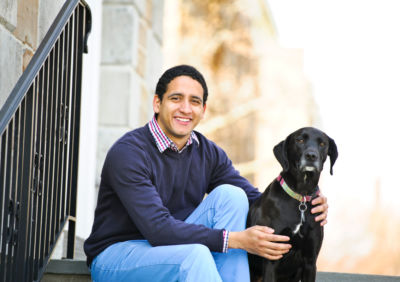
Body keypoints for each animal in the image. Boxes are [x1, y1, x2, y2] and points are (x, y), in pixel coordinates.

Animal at [247, 127, 338, 282]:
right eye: (299, 140)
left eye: (322, 143)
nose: (311, 156)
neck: (300, 197)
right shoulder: (271, 258)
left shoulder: (310, 262)